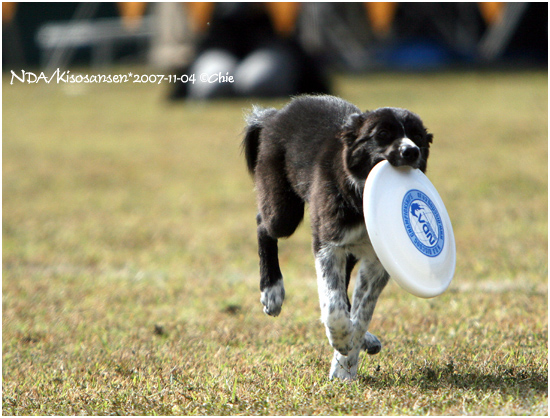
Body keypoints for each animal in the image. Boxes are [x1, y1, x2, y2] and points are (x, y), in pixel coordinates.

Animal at [244, 94, 434, 378]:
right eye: (382, 134)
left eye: (418, 136)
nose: (411, 151)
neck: (360, 196)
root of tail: (274, 114)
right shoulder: (329, 243)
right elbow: (332, 302)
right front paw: (342, 339)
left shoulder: (378, 260)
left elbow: (362, 311)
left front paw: (346, 366)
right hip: (283, 210)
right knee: (263, 226)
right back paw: (272, 291)